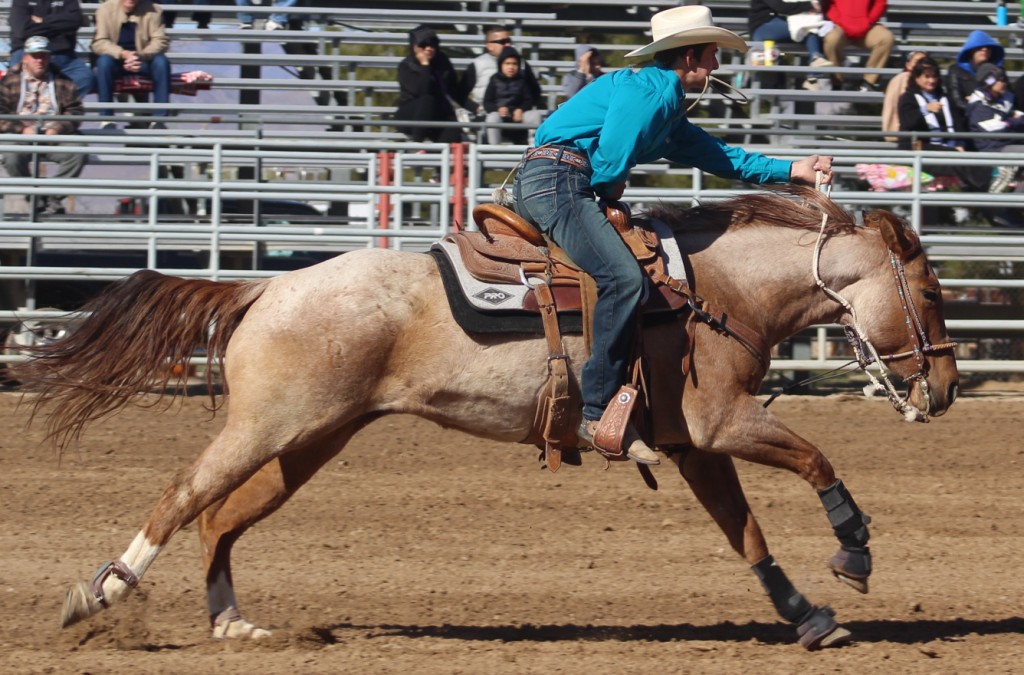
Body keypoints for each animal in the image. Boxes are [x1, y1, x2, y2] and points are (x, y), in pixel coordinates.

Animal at [13, 186, 959, 650]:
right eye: (933, 292)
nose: (946, 386)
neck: (713, 291)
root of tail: (265, 288)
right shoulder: (723, 422)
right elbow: (816, 458)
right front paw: (854, 552)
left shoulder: (695, 445)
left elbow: (747, 533)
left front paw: (807, 615)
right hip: (267, 428)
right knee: (182, 495)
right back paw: (99, 592)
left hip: (309, 439)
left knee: (221, 518)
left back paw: (232, 622)